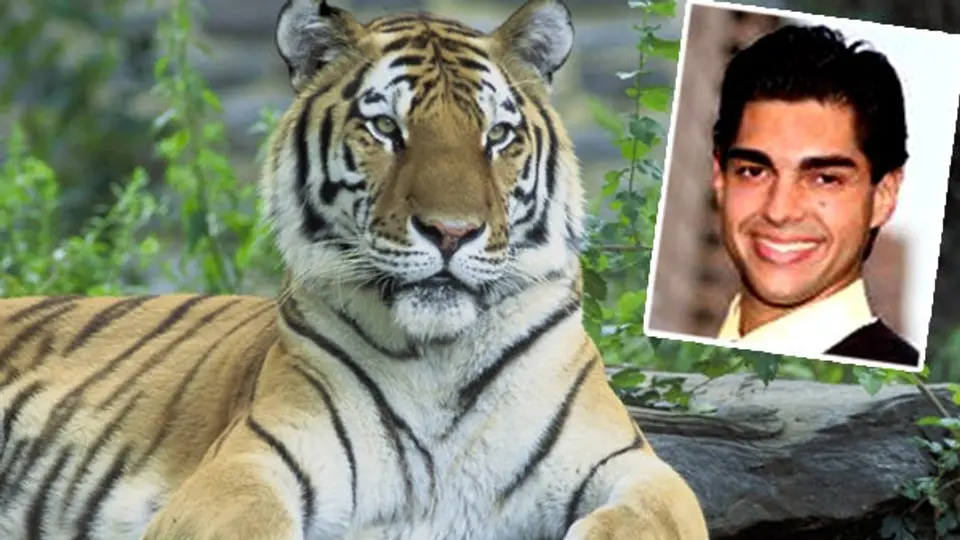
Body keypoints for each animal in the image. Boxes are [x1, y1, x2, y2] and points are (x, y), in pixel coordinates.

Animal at [0, 0, 709, 538]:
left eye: (497, 137)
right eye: (386, 128)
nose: (452, 232)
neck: (439, 358)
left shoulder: (636, 469)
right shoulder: (247, 468)